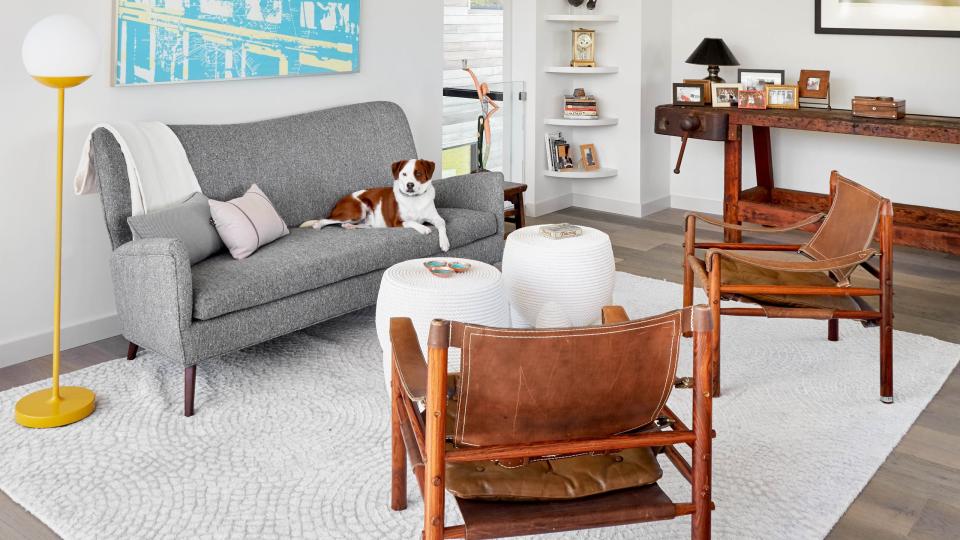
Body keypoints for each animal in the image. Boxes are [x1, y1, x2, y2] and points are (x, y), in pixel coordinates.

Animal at [300, 159, 450, 252]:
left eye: (418, 173)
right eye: (404, 174)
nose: (410, 185)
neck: (414, 199)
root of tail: (338, 203)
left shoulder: (435, 217)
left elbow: (442, 224)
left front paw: (444, 242)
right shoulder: (397, 222)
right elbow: (411, 222)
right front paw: (423, 228)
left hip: (365, 219)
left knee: (355, 225)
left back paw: (350, 227)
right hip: (357, 210)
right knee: (326, 219)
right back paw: (318, 225)